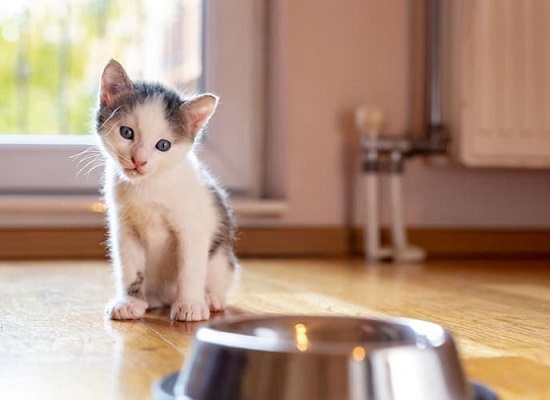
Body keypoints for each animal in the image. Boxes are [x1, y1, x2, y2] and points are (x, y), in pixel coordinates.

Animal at [96, 59, 238, 322]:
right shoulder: (125, 228)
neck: (149, 186)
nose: (138, 160)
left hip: (221, 259)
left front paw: (190, 304)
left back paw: (210, 298)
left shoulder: (192, 227)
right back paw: (148, 300)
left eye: (163, 145)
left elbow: (190, 266)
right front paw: (129, 301)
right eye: (126, 132)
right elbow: (129, 267)